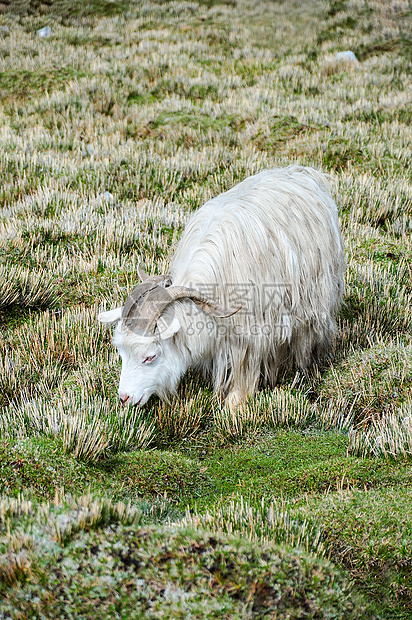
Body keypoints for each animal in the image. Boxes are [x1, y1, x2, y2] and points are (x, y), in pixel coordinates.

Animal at [99, 165, 344, 410]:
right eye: (121, 353)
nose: (124, 397)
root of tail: (300, 172)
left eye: (149, 357)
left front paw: (235, 406)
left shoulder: (251, 334)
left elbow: (244, 369)